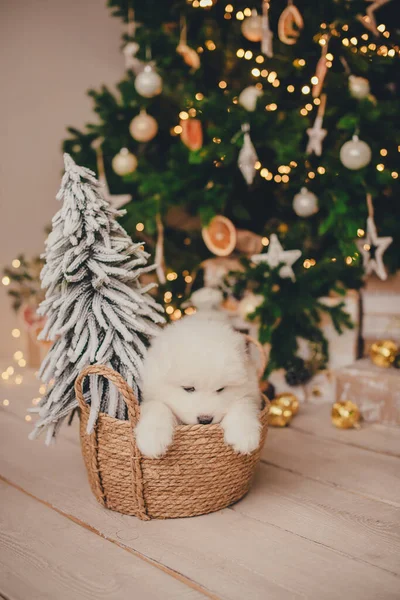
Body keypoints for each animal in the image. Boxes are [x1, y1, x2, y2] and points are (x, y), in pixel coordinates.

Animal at [135, 316, 262, 458]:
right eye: (188, 388)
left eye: (220, 389)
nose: (205, 420)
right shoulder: (150, 394)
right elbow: (157, 406)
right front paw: (152, 439)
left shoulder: (252, 391)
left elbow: (244, 403)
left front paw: (244, 436)